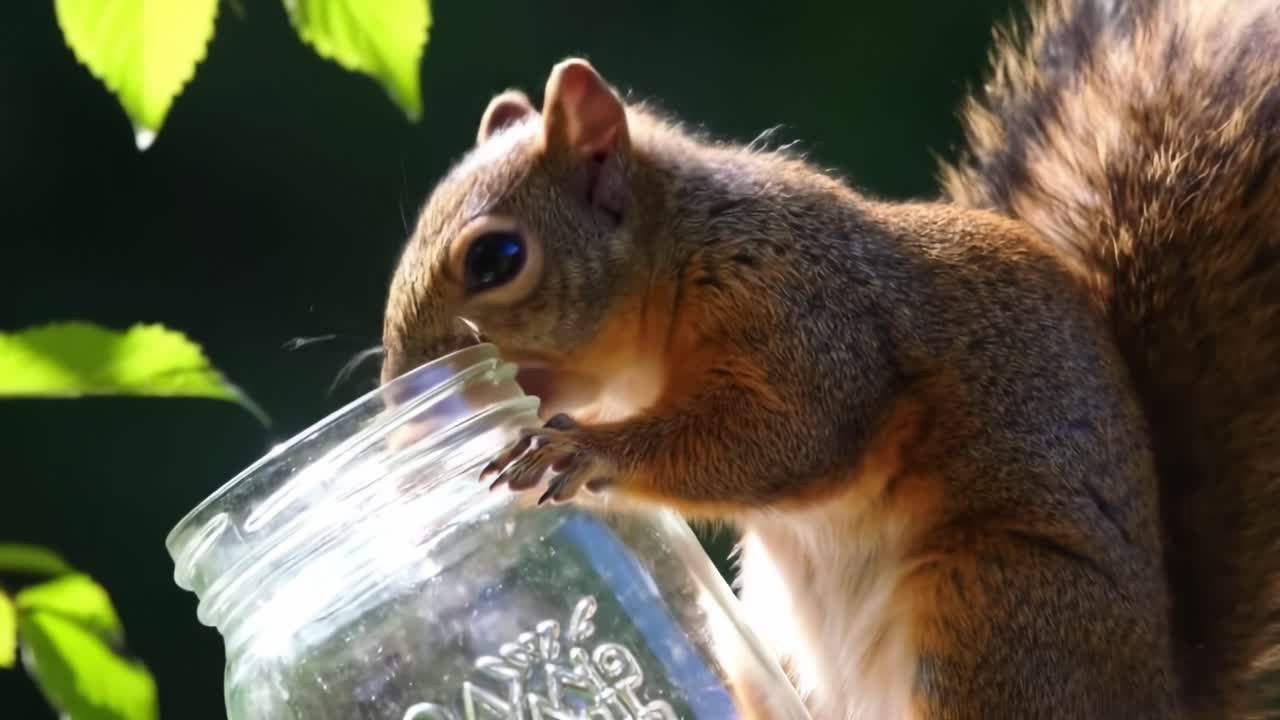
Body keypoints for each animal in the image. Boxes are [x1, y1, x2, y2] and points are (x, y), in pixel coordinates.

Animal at [379, 0, 1280, 717]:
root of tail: (1162, 694)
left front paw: (583, 450)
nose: (399, 407)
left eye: (497, 258)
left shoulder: (808, 315)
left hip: (996, 613)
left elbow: (790, 437)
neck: (682, 257)